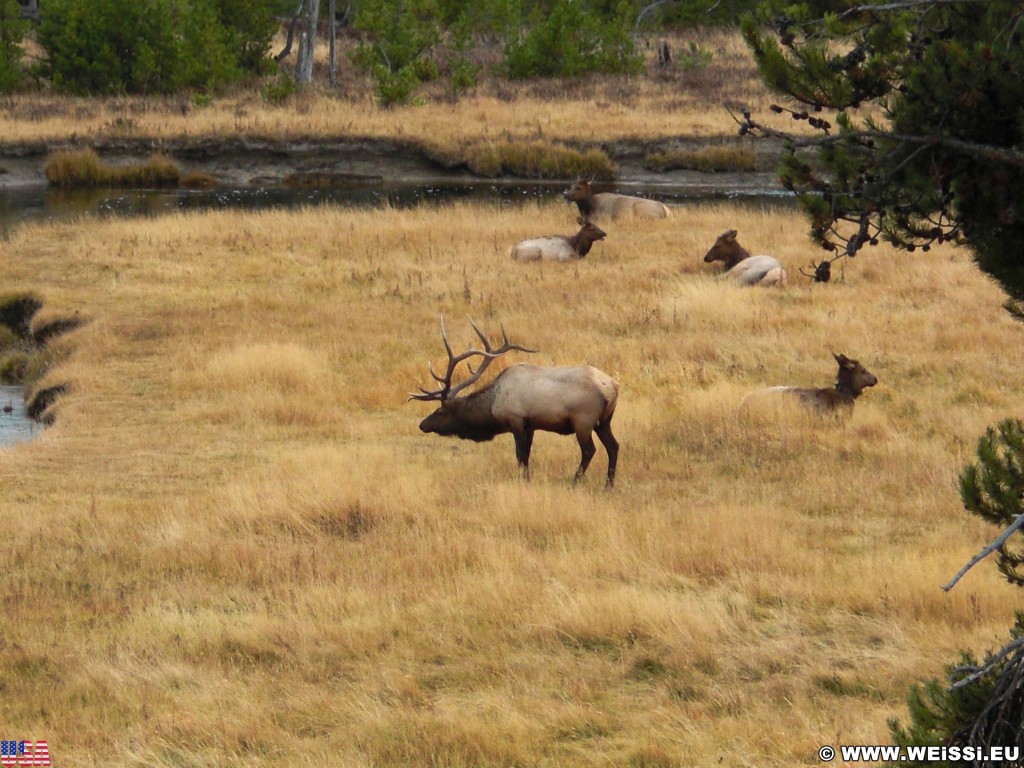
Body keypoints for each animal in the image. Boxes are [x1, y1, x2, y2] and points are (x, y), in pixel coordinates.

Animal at [409, 321, 618, 489]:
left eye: (440, 411)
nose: (422, 424)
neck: (493, 405)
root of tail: (613, 387)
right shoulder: (531, 425)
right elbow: (527, 455)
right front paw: (528, 479)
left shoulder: (516, 420)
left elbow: (520, 454)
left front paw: (522, 481)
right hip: (604, 421)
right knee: (614, 446)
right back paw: (608, 485)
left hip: (583, 421)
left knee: (589, 450)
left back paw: (574, 482)